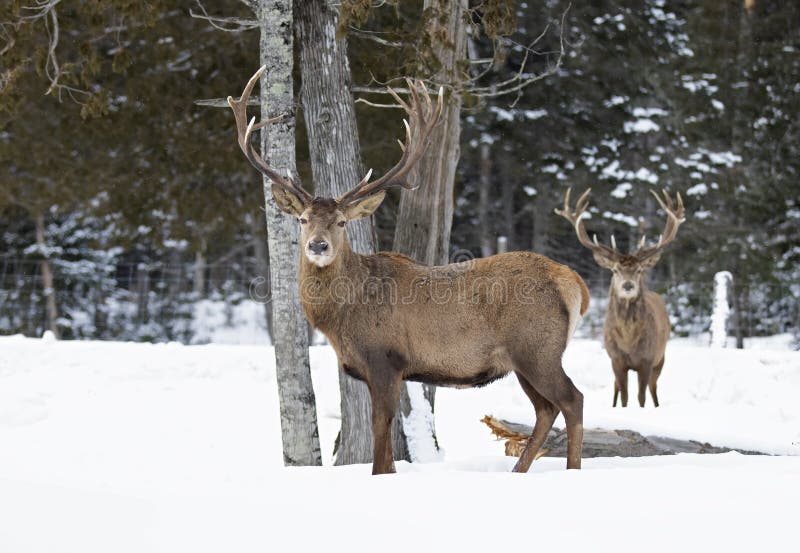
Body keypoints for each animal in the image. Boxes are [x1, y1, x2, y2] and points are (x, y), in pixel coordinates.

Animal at [228, 68, 592, 474]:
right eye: (303, 219)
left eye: (341, 222)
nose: (318, 246)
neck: (341, 318)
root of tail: (575, 283)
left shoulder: (385, 357)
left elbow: (381, 432)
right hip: (522, 358)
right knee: (546, 408)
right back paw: (518, 472)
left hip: (537, 346)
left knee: (572, 399)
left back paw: (572, 470)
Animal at [556, 188, 688, 408]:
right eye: (615, 270)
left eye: (639, 270)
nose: (628, 285)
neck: (628, 340)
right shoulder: (616, 359)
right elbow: (625, 396)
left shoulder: (647, 359)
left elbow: (641, 397)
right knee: (616, 388)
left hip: (661, 356)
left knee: (653, 388)